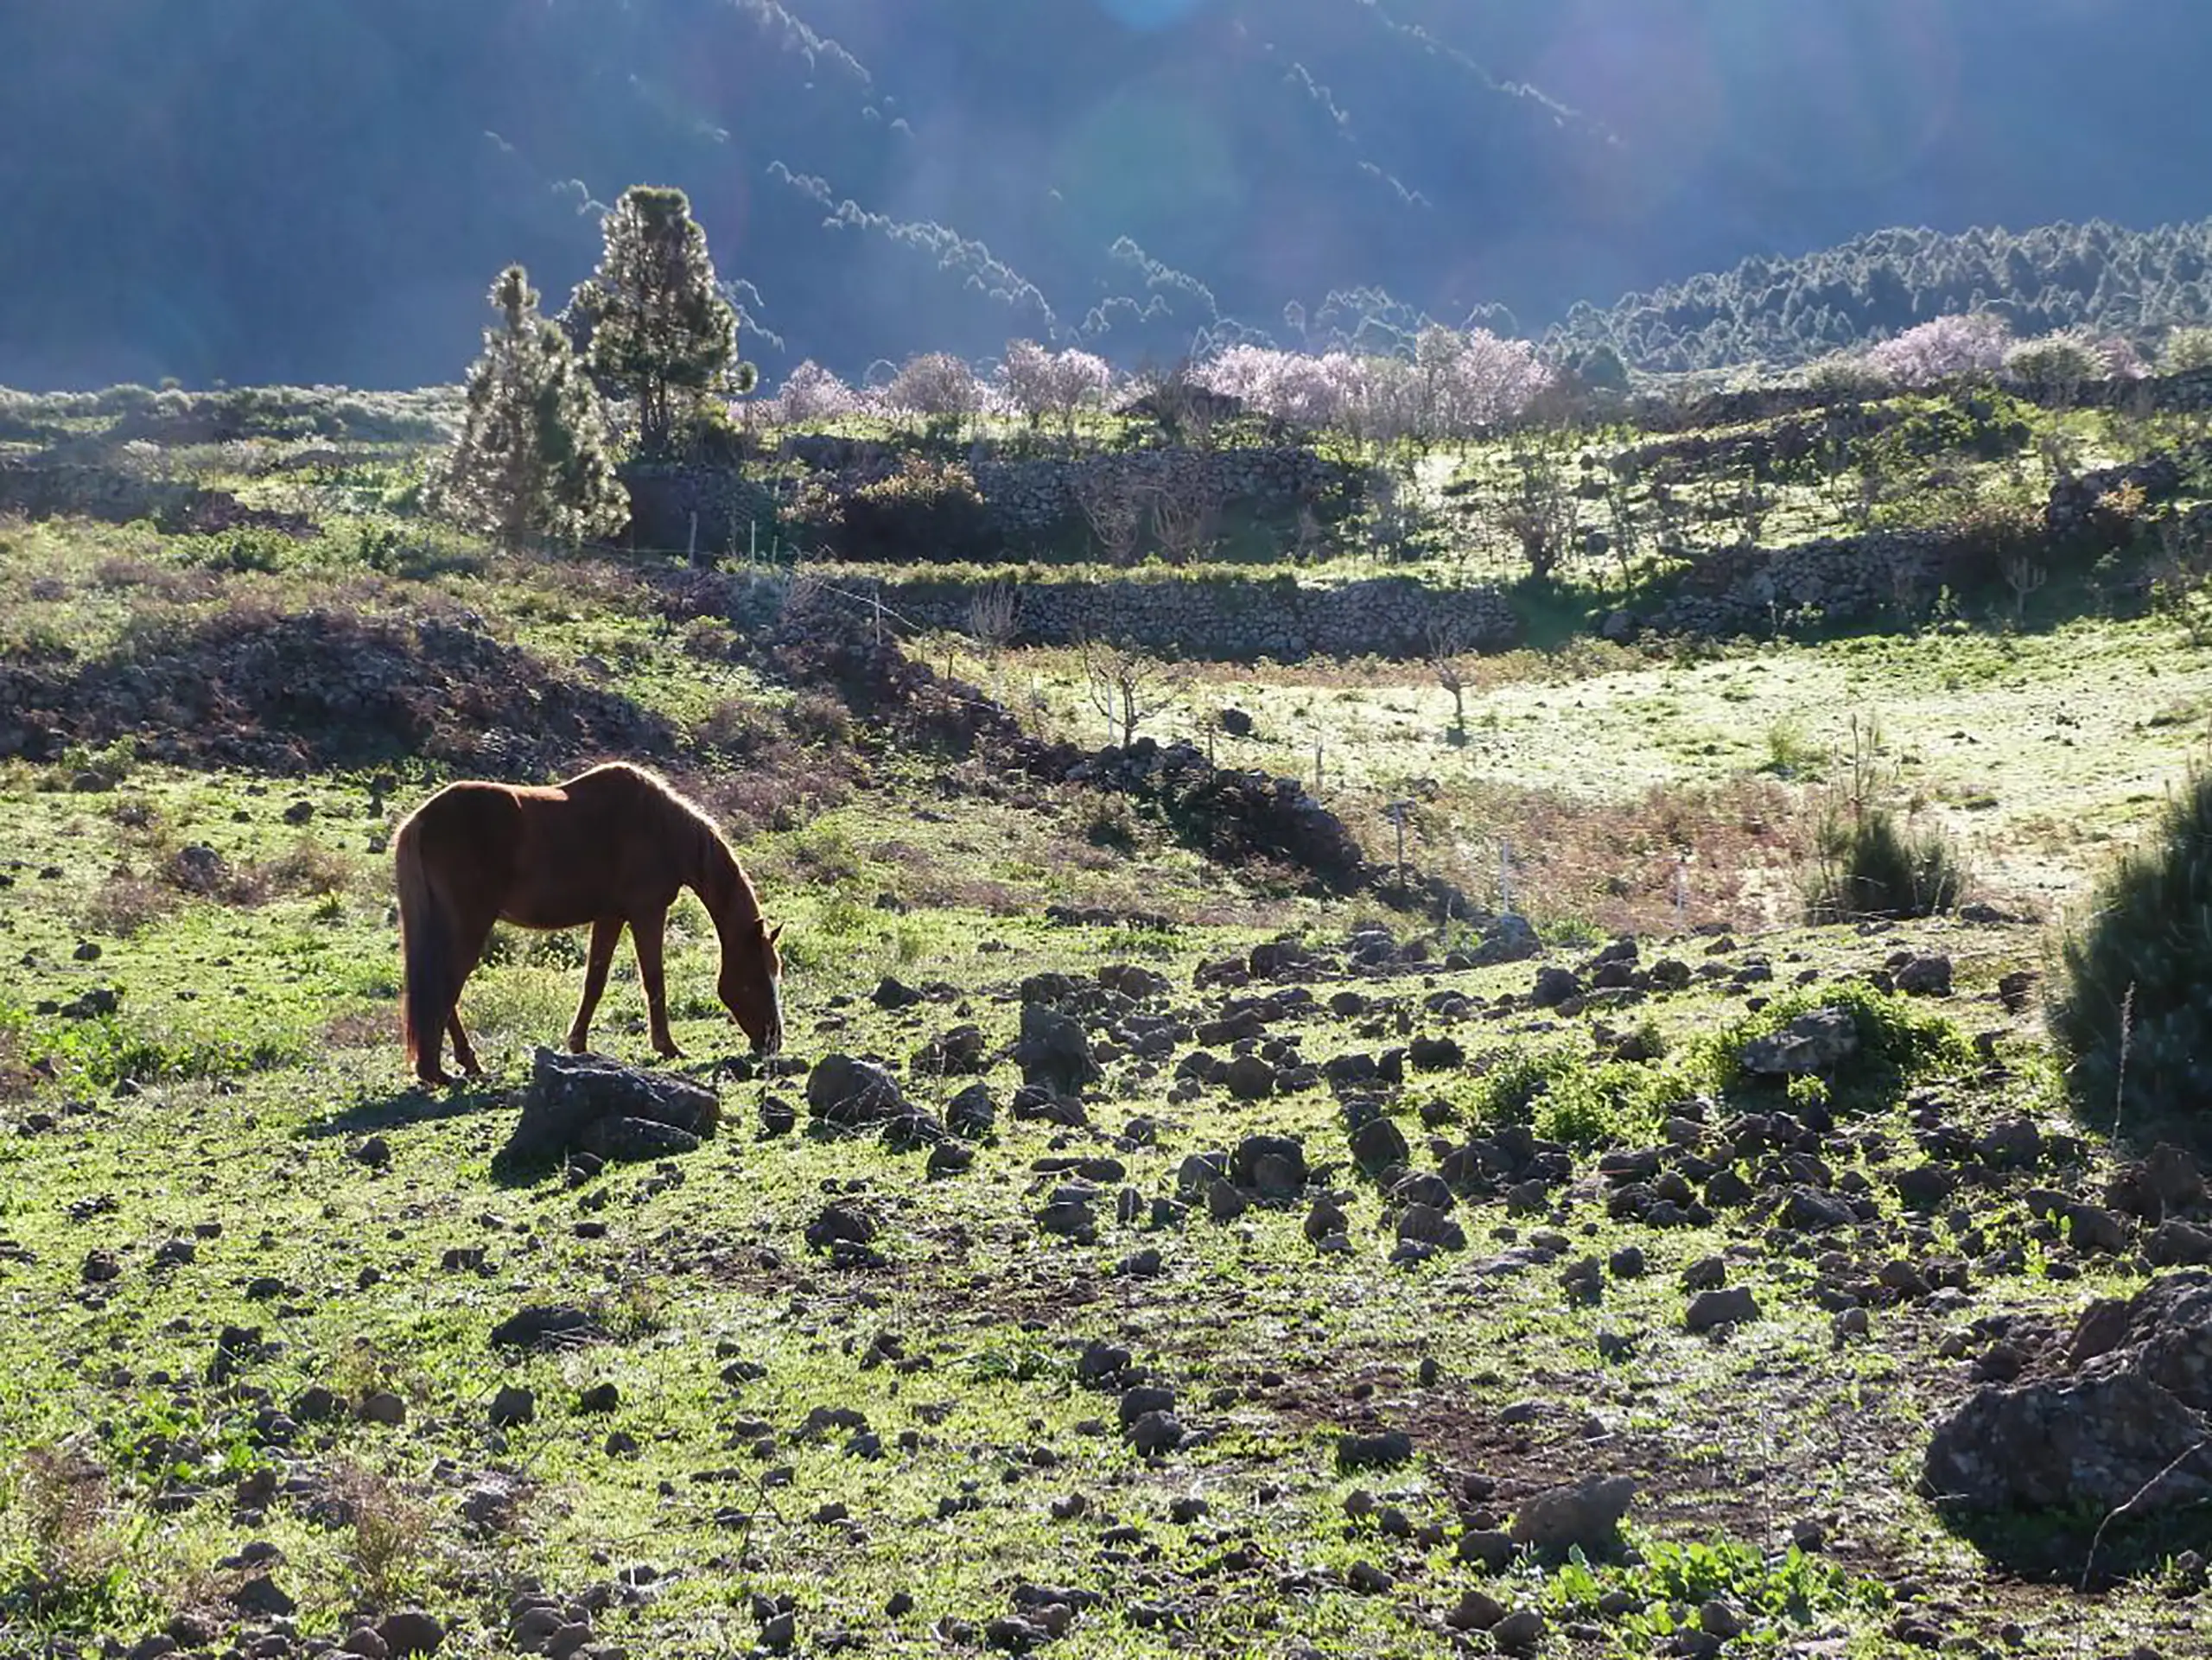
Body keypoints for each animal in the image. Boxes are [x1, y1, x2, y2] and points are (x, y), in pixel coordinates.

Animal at [393, 762, 783, 1087]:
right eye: (753, 980)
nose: (773, 1041)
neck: (661, 827)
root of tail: (420, 822)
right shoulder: (647, 912)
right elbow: (653, 979)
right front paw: (667, 1047)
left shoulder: (611, 916)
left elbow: (595, 980)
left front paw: (577, 1044)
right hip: (469, 925)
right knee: (445, 987)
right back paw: (441, 1071)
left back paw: (460, 1066)